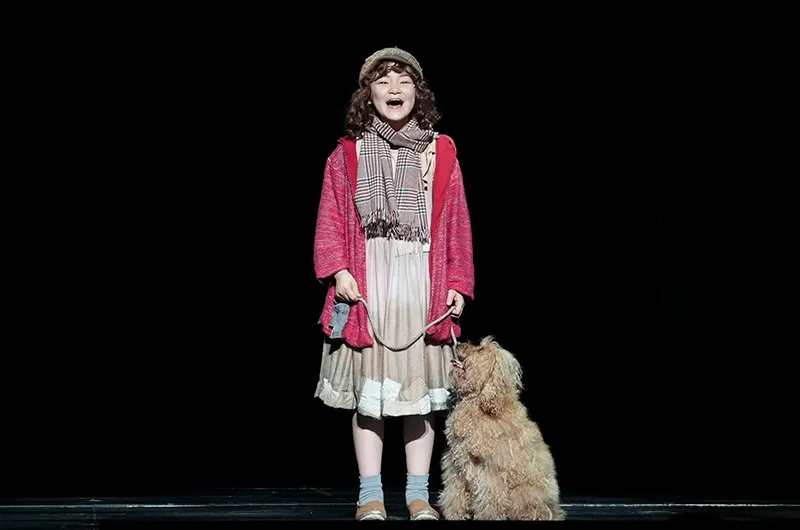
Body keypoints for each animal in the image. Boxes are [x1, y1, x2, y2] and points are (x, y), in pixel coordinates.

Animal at [437, 336, 566, 520]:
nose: (458, 344)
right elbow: (454, 493)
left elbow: (489, 498)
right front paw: (454, 515)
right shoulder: (456, 463)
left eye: (480, 350)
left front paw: (487, 517)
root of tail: (554, 511)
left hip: (524, 494)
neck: (479, 401)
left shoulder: (489, 470)